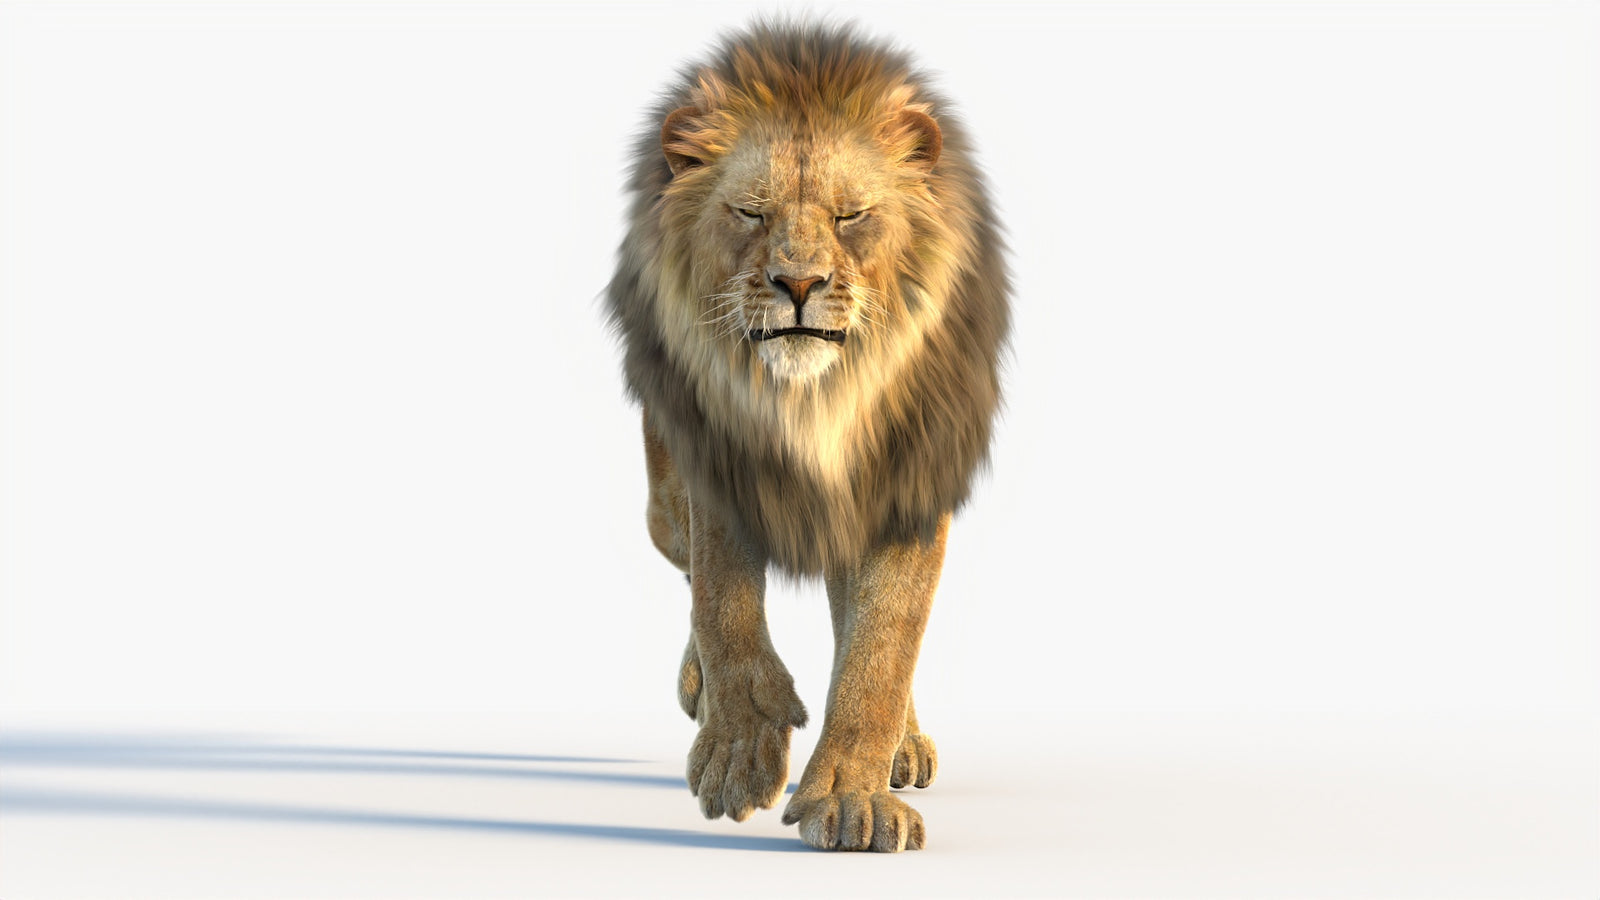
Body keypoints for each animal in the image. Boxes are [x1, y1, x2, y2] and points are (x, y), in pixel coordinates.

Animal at [604, 22, 1009, 852]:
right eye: (750, 213)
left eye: (851, 216)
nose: (798, 284)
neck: (816, 401)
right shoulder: (717, 461)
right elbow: (722, 598)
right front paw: (738, 748)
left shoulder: (910, 479)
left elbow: (883, 645)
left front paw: (853, 800)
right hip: (662, 501)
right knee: (686, 565)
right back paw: (699, 690)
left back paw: (902, 746)